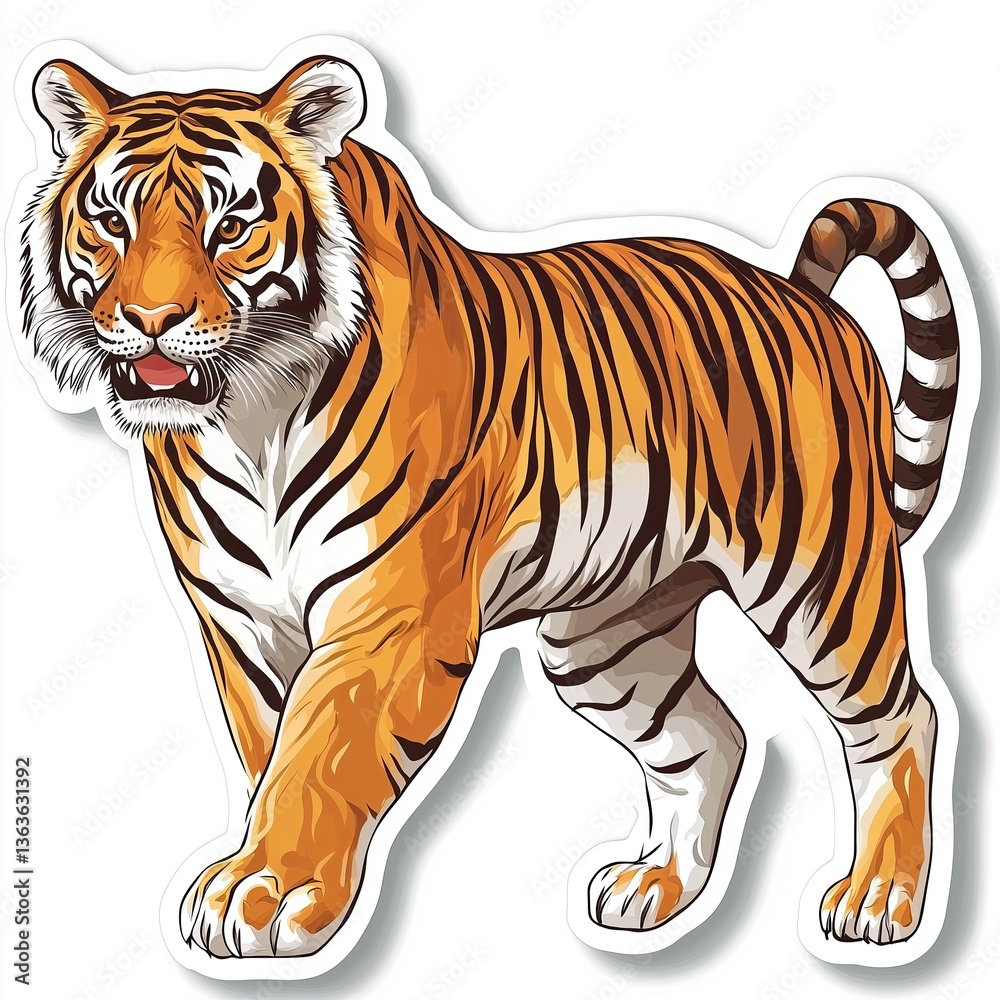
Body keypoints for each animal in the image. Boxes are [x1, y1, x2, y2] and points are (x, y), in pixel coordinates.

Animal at [17, 52, 964, 961]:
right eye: (112, 223)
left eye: (231, 228)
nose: (150, 318)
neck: (249, 421)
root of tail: (810, 300)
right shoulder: (241, 625)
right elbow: (271, 754)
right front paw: (266, 874)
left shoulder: (389, 614)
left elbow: (319, 754)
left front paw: (267, 890)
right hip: (607, 634)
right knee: (713, 736)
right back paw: (654, 887)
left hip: (822, 581)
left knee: (902, 717)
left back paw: (880, 901)